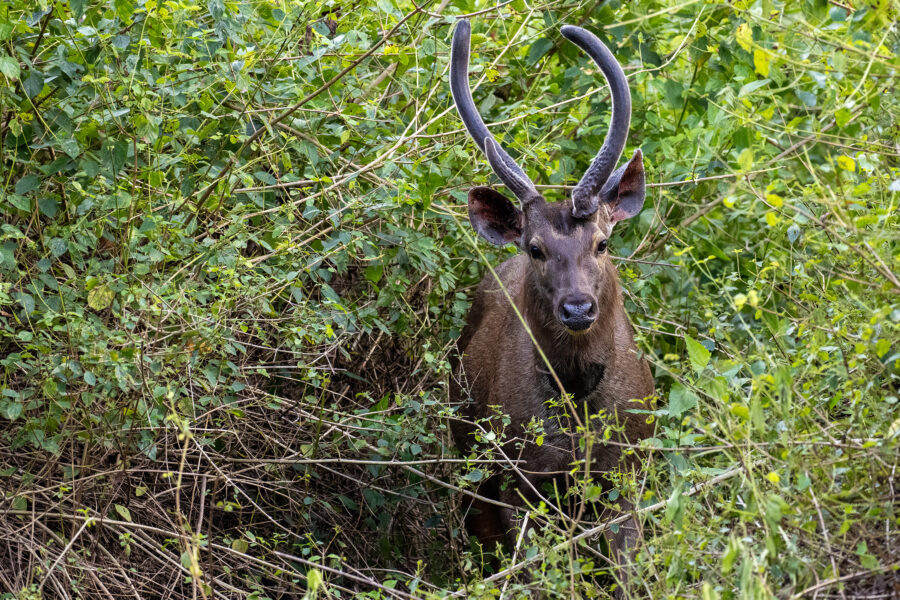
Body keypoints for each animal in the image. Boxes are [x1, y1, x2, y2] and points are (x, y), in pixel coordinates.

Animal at [448, 19, 655, 569]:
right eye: (536, 248)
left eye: (602, 242)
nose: (578, 307)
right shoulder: (522, 477)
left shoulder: (627, 467)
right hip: (469, 456)